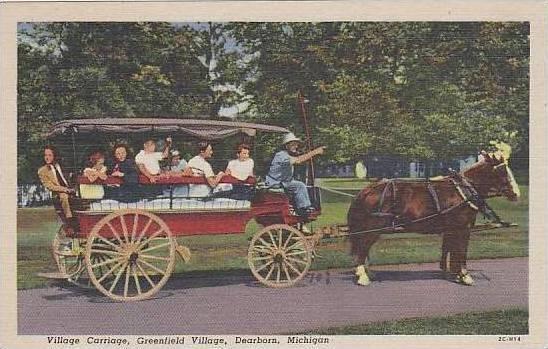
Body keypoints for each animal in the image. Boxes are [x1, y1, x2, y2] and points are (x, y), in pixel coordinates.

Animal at [348, 152, 520, 286]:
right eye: (502, 171)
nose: (516, 194)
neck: (463, 191)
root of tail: (367, 190)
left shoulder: (452, 229)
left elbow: (450, 250)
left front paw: (454, 274)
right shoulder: (463, 228)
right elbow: (461, 252)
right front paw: (465, 276)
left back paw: (367, 273)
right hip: (373, 228)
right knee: (362, 248)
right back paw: (363, 276)